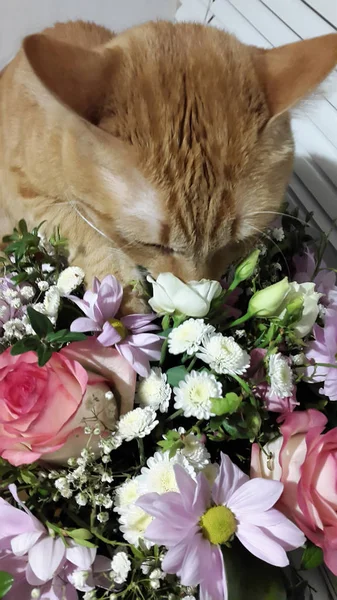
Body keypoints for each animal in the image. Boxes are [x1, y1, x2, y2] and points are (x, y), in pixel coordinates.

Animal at [1, 19, 336, 310]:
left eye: (236, 243)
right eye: (151, 245)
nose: (197, 299)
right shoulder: (24, 196)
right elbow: (82, 228)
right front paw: (122, 298)